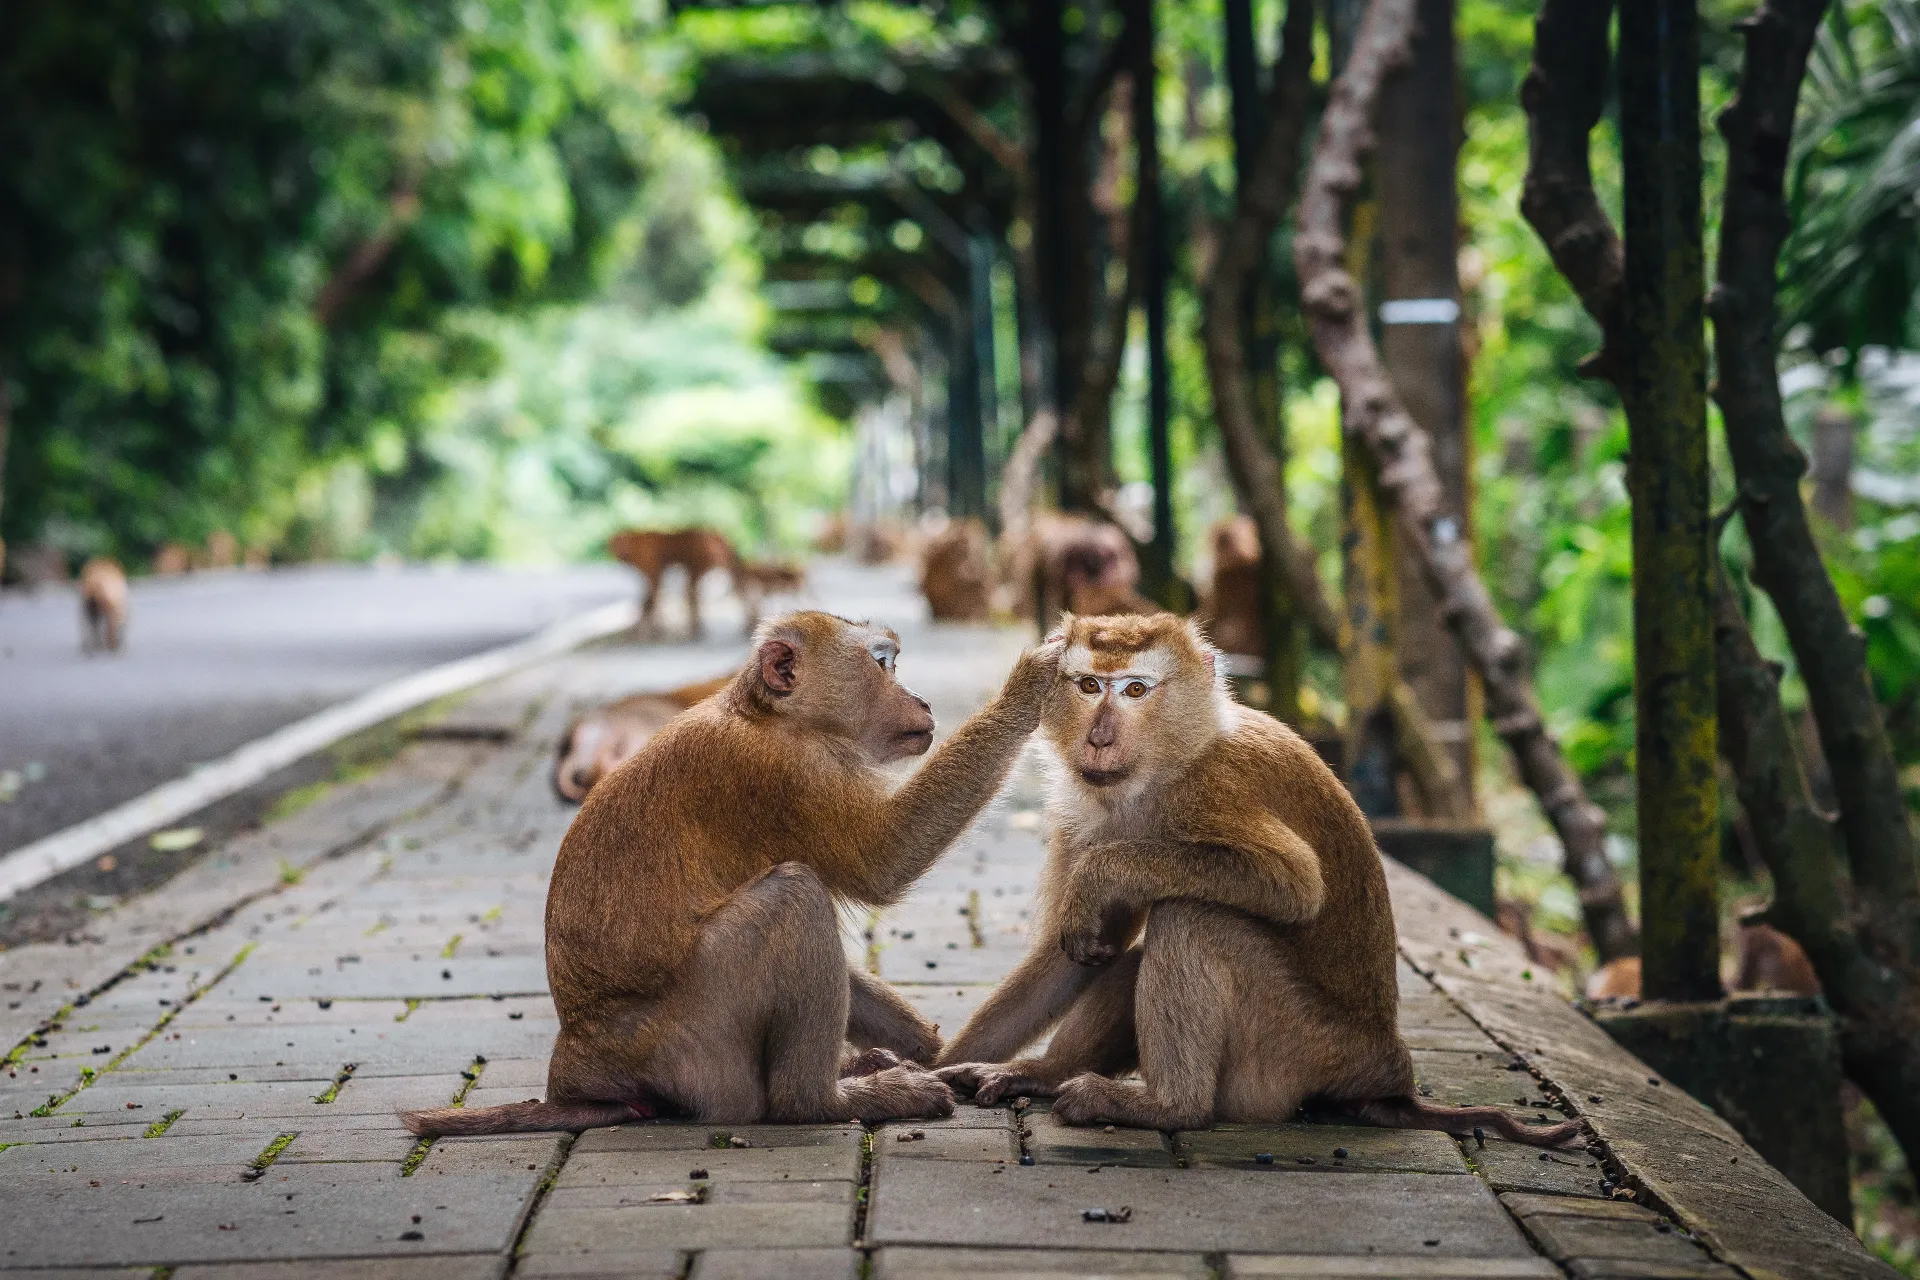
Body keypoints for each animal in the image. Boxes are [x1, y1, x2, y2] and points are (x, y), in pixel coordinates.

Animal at [934, 612, 1582, 1147]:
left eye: (1136, 690)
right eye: (1090, 685)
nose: (1099, 737)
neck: (1165, 765)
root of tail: (1387, 1070)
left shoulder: (1216, 788)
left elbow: (1292, 883)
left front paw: (1102, 873)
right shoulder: (1085, 815)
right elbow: (1084, 950)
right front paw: (948, 1066)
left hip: (1295, 1053)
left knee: (1194, 915)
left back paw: (1169, 1108)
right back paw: (1048, 1076)